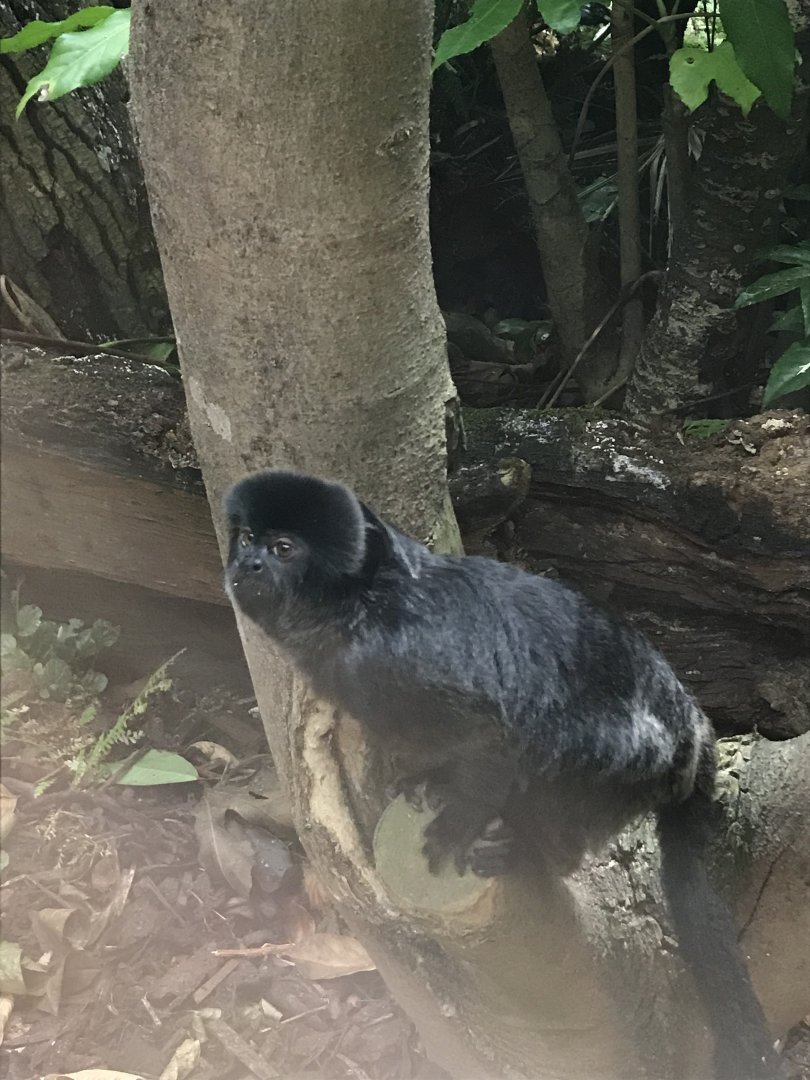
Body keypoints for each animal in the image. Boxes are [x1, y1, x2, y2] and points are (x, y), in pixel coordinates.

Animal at [223, 469, 781, 1080]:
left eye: (283, 549)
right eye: (247, 538)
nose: (248, 563)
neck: (360, 607)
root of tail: (693, 732)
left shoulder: (402, 657)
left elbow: (498, 732)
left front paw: (461, 818)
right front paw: (431, 779)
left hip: (635, 760)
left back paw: (532, 848)